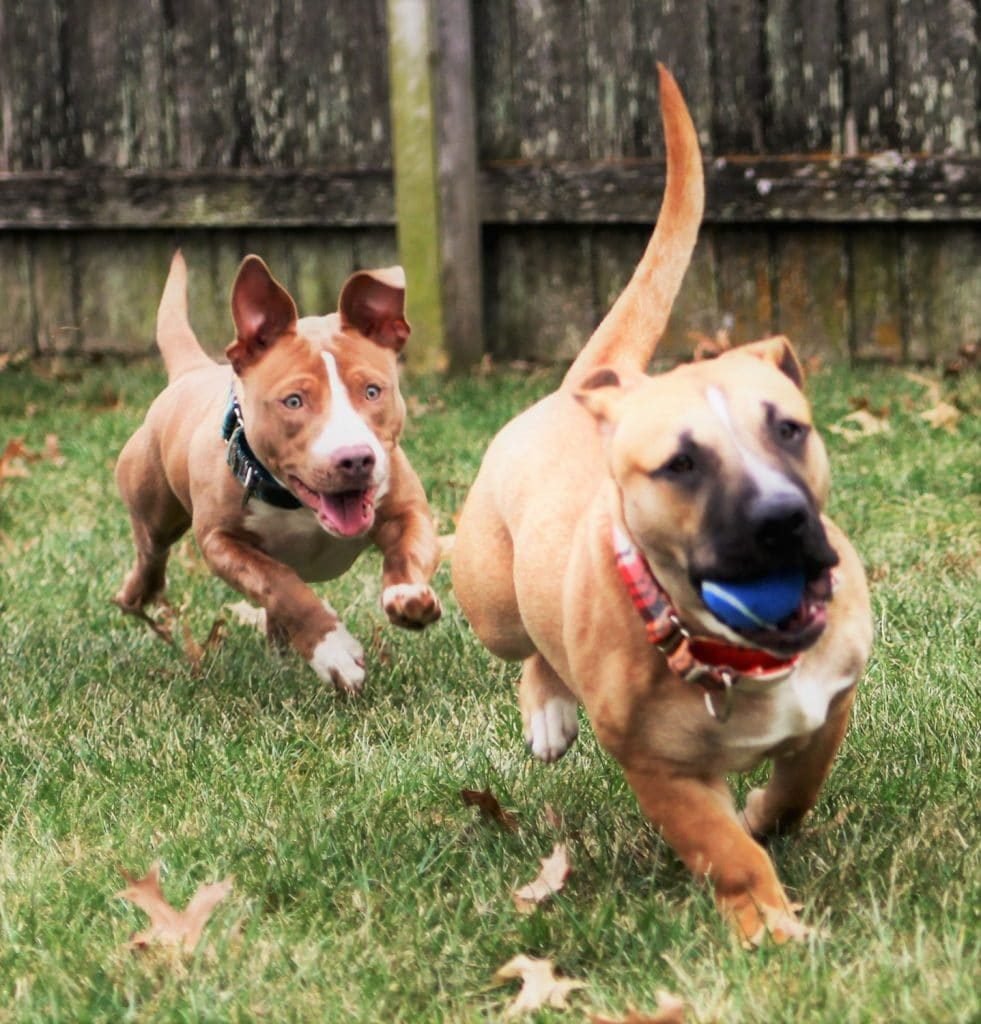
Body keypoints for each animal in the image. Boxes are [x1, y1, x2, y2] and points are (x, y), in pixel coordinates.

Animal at [115, 251, 442, 692]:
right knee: (151, 554)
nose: (355, 459)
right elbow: (281, 586)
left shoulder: (407, 510)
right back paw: (136, 596)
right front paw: (333, 651)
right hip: (153, 513)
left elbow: (407, 551)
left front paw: (407, 596)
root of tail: (191, 372)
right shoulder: (221, 541)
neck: (297, 504)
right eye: (293, 401)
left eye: (373, 391)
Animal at [448, 66, 872, 942]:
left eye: (788, 427)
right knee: (527, 646)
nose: (781, 520)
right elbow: (723, 849)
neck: (736, 658)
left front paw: (767, 814)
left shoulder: (832, 701)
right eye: (679, 464)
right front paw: (767, 925)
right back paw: (547, 712)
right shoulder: (657, 769)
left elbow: (797, 786)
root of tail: (586, 390)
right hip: (491, 599)